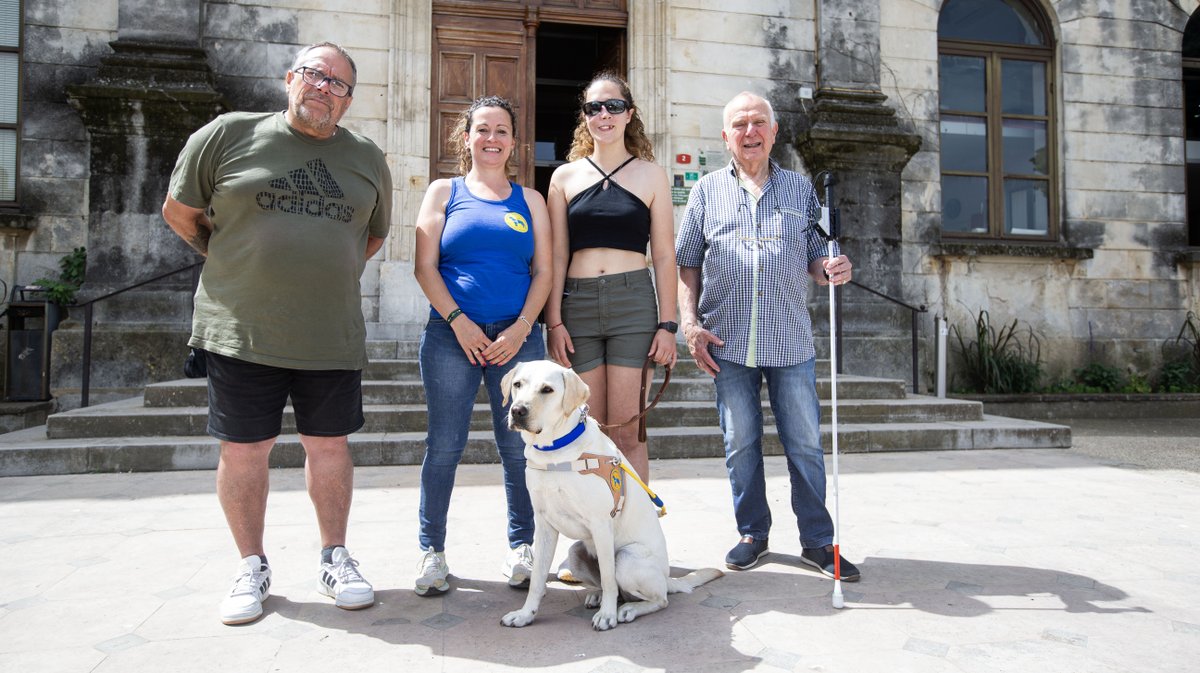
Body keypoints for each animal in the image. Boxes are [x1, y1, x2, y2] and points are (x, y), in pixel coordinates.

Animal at [499, 359, 720, 628]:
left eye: (547, 390)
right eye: (517, 385)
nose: (517, 410)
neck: (555, 453)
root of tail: (666, 578)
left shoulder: (601, 524)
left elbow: (608, 578)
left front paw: (607, 615)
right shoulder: (544, 526)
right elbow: (538, 580)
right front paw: (525, 614)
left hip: (627, 559)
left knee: (658, 599)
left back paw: (628, 609)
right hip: (575, 554)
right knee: (614, 589)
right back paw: (598, 596)